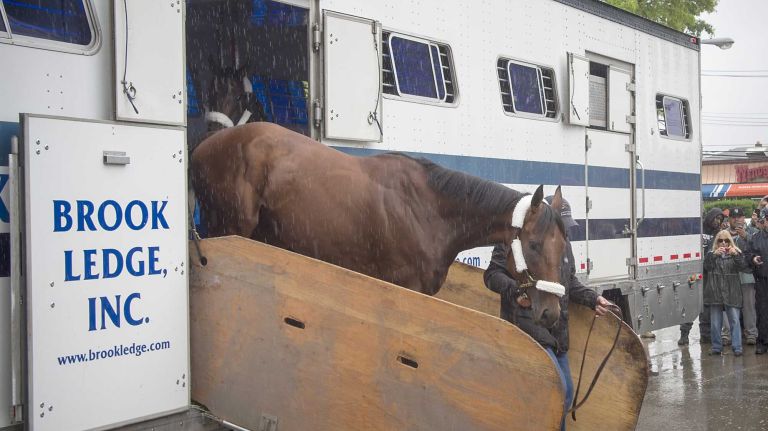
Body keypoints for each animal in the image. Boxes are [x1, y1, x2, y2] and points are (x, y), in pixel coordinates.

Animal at [191, 121, 568, 328]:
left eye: (563, 248)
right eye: (534, 245)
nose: (551, 314)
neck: (429, 211)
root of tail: (202, 147)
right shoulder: (405, 288)